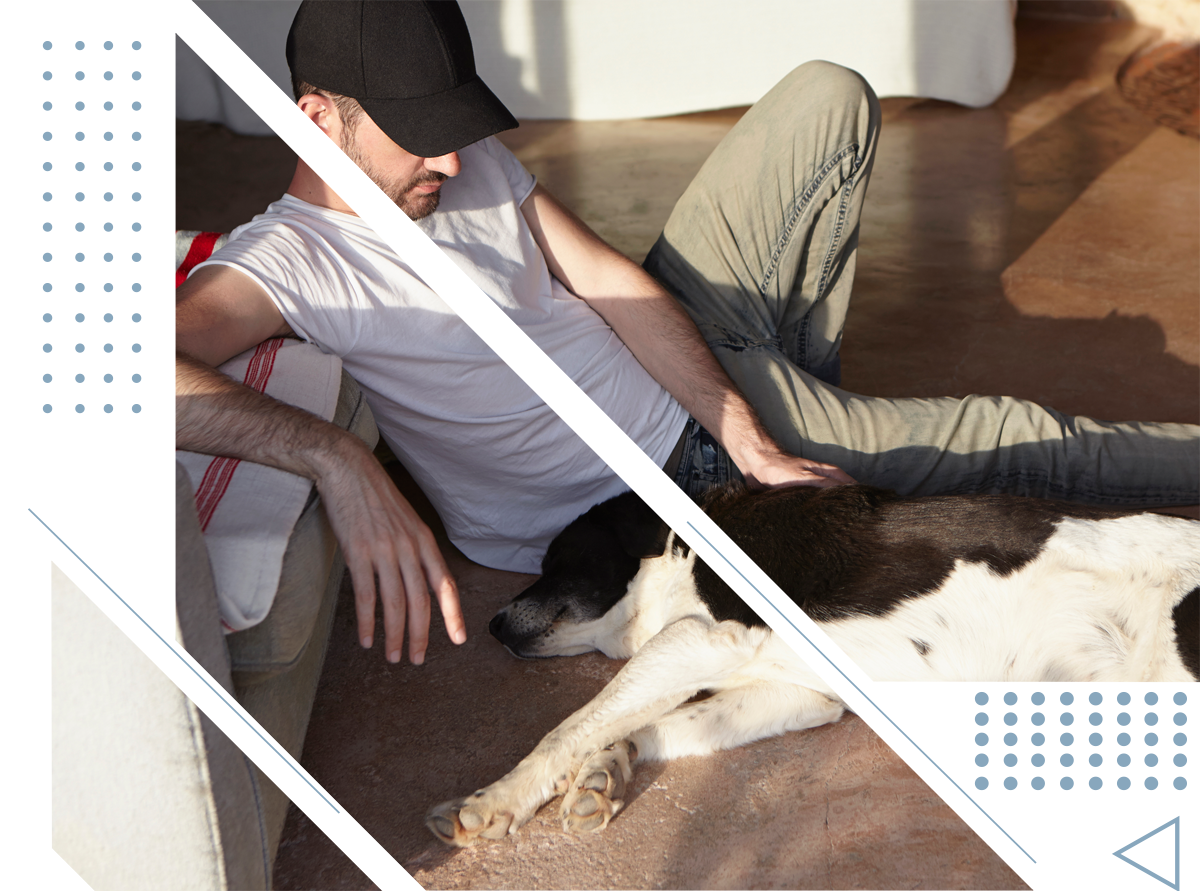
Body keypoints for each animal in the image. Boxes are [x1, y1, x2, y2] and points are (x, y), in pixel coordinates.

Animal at [427, 485, 1195, 850]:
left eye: (554, 560)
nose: (488, 625)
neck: (679, 557)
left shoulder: (703, 637)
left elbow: (568, 726)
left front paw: (490, 803)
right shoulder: (795, 692)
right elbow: (652, 722)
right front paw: (605, 771)